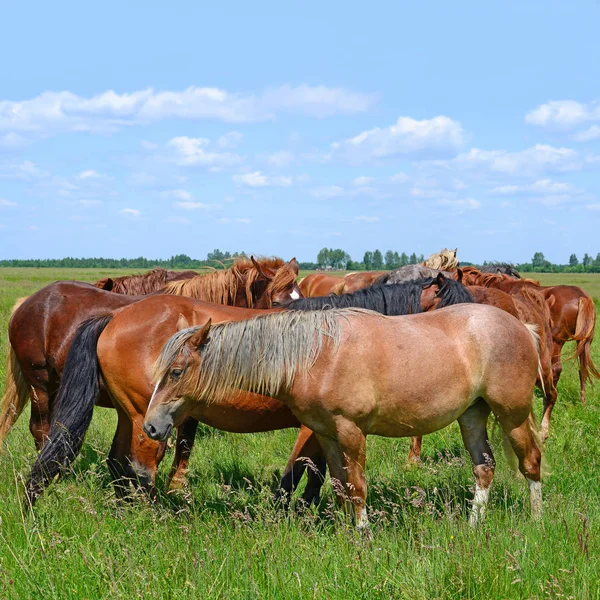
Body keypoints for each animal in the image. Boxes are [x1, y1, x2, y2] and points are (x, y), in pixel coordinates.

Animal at [24, 276, 468, 502]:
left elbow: (318, 475)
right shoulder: (314, 427)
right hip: (145, 420)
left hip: (129, 415)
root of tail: (114, 317)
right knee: (140, 469)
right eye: (451, 305)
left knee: (118, 465)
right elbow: (300, 476)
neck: (335, 338)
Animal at [145, 304, 544, 528]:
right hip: (472, 415)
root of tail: (522, 327)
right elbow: (339, 486)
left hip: (512, 415)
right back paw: (473, 526)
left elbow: (358, 487)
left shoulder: (351, 431)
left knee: (531, 462)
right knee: (484, 467)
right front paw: (343, 533)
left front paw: (364, 535)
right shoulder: (325, 434)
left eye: (176, 372)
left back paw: (537, 523)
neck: (317, 355)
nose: (151, 426)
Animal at [460, 268, 596, 404]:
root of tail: (583, 296)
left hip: (557, 341)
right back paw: (582, 399)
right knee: (582, 369)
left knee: (556, 369)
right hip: (583, 343)